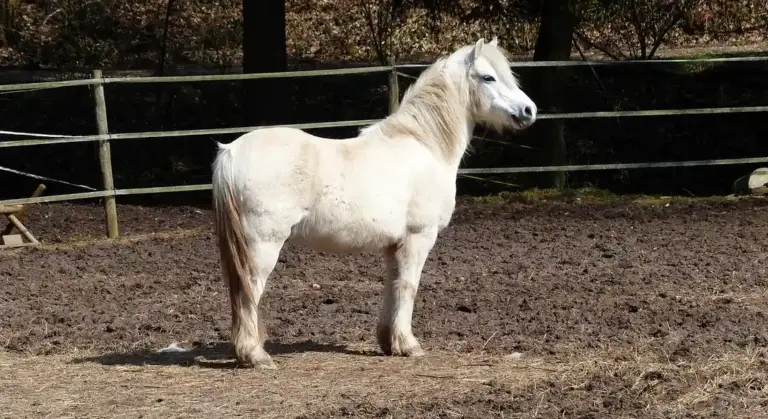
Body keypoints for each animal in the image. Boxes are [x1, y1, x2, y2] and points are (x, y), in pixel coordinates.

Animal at [211, 37, 538, 368]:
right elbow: (409, 287)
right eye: (488, 77)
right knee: (248, 291)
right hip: (263, 244)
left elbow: (393, 287)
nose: (529, 110)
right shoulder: (418, 237)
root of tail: (231, 152)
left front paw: (390, 343)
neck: (425, 145)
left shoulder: (395, 245)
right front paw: (409, 345)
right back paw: (255, 355)